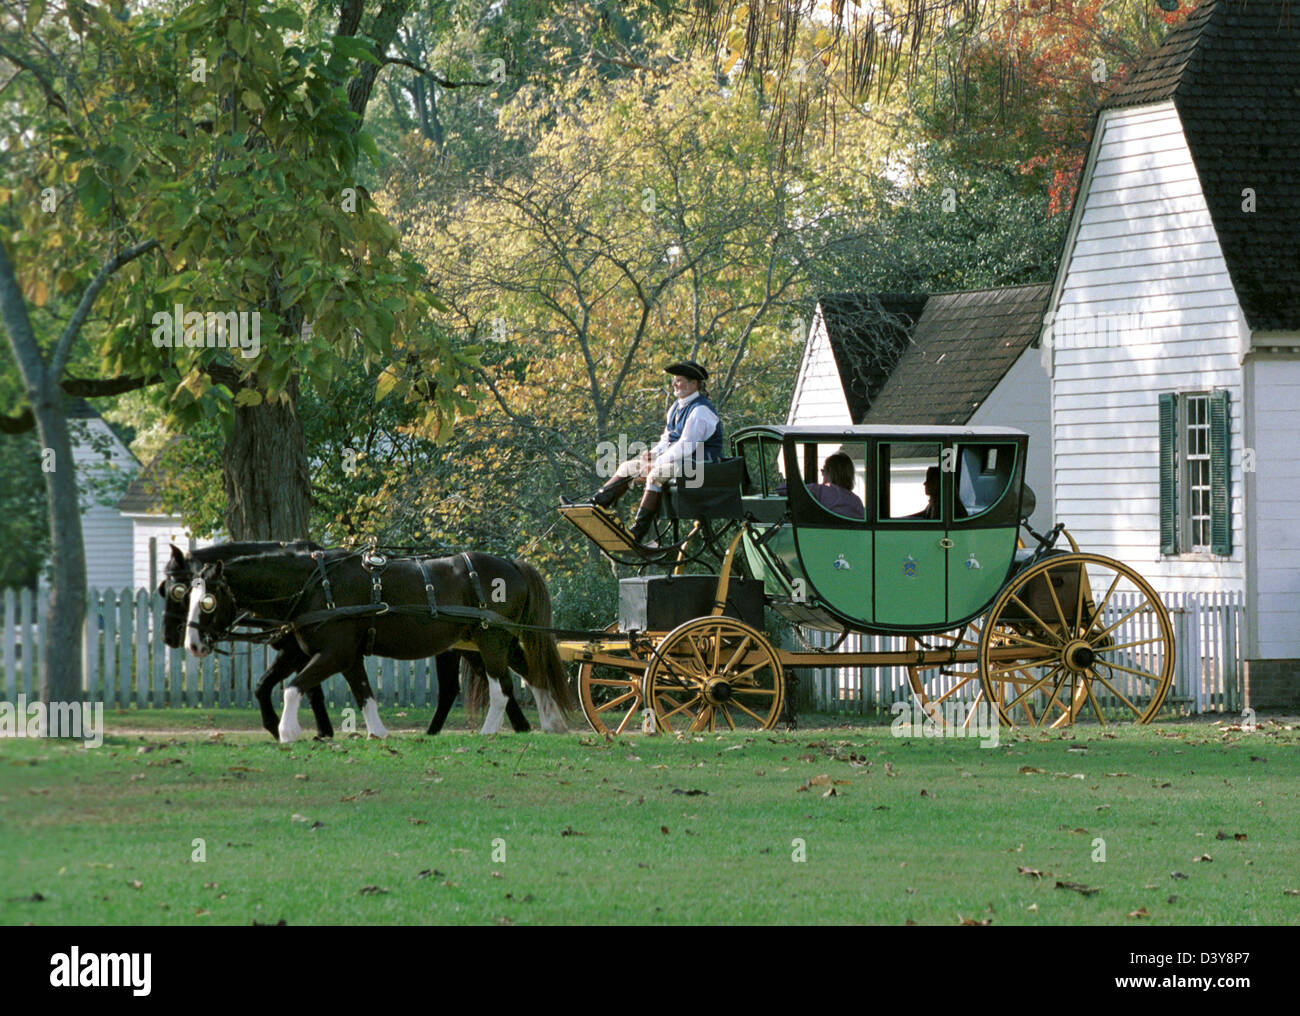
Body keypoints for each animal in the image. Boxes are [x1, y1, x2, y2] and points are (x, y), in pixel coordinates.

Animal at [184, 553, 574, 743]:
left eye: (207, 602)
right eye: (183, 594)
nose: (192, 644)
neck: (316, 586)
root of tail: (512, 563)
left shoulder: (333, 654)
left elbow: (293, 688)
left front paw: (287, 731)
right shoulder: (348, 657)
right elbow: (364, 694)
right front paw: (378, 732)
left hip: (491, 642)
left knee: (501, 689)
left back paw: (490, 732)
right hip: (493, 643)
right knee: (535, 675)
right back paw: (551, 723)